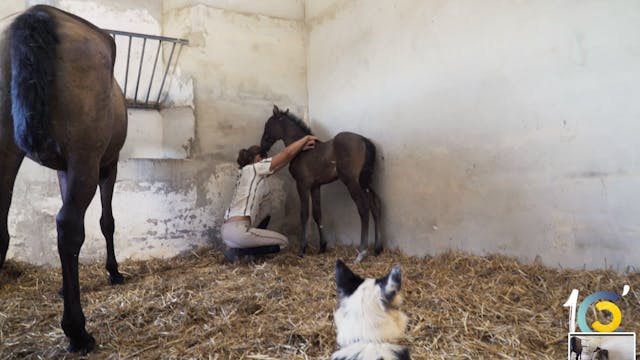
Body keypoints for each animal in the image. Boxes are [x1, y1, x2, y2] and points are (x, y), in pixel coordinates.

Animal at [0, 4, 127, 354]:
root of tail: (39, 15)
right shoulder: (106, 166)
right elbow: (106, 221)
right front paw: (113, 271)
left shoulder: (63, 170)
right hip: (86, 161)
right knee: (69, 228)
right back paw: (78, 332)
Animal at [258, 105, 380, 262]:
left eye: (268, 125)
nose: (262, 147)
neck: (302, 150)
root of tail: (364, 140)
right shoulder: (315, 186)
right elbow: (317, 214)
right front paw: (322, 247)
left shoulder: (302, 184)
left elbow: (304, 214)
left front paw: (302, 249)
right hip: (365, 183)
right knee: (375, 208)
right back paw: (377, 249)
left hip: (352, 182)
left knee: (364, 209)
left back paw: (361, 253)